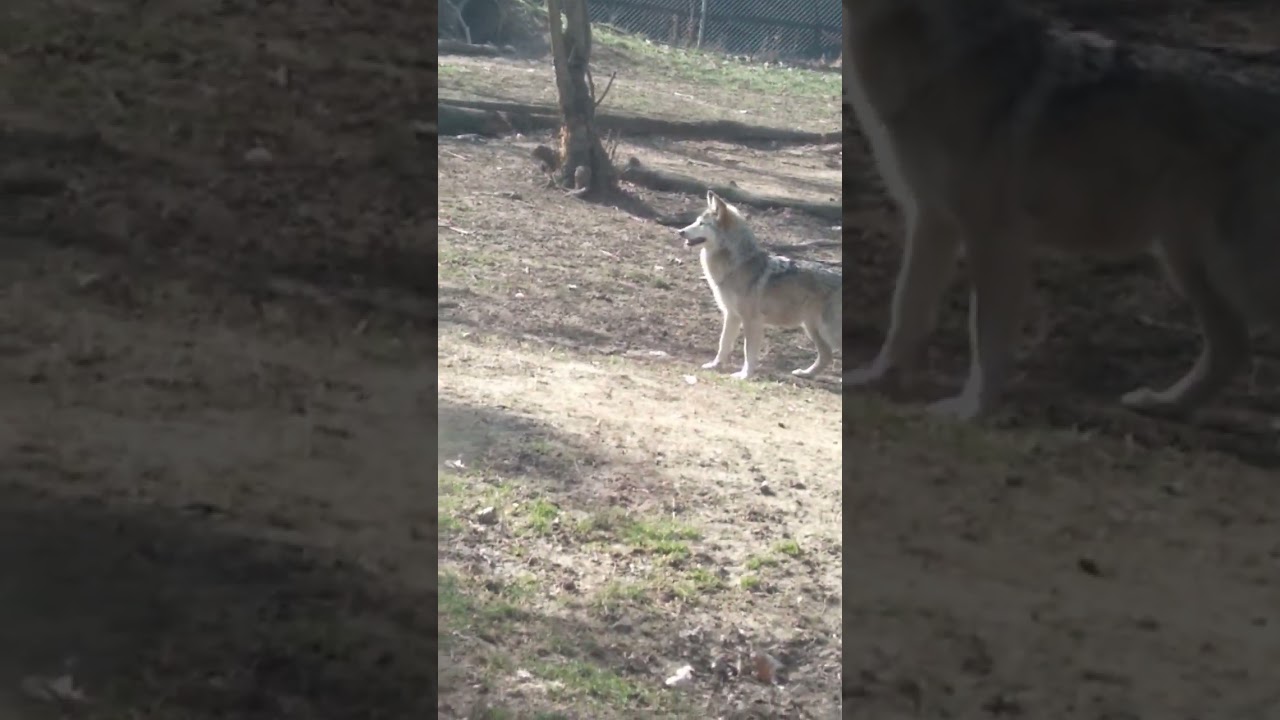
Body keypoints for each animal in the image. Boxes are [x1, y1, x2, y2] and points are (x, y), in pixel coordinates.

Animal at [677, 191, 842, 380]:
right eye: (696, 221)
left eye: (702, 224)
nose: (680, 231)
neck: (737, 265)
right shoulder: (731, 315)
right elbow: (723, 344)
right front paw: (714, 365)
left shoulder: (751, 320)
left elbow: (748, 352)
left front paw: (744, 375)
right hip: (812, 328)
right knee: (826, 356)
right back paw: (805, 373)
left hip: (827, 330)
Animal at [842, 0, 1280, 420]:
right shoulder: (931, 220)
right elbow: (905, 312)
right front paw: (873, 380)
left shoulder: (993, 235)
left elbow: (984, 337)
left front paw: (970, 411)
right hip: (1186, 262)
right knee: (1232, 346)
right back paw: (1165, 405)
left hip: (1232, 270)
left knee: (1237, 342)